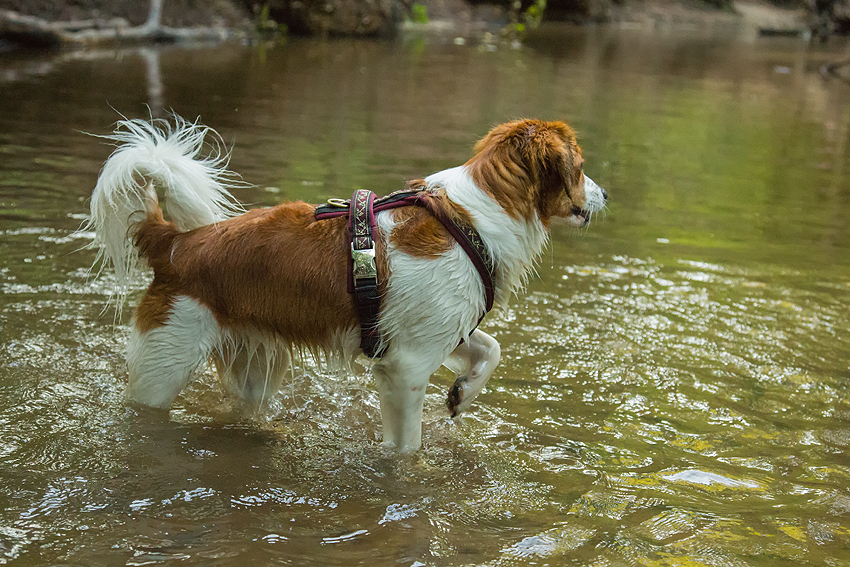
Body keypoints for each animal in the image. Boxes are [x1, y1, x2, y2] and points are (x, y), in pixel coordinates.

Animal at [89, 116, 604, 452]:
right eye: (580, 168)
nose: (605, 194)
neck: (472, 219)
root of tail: (176, 242)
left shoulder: (435, 332)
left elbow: (492, 349)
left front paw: (463, 392)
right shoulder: (407, 366)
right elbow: (406, 450)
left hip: (254, 369)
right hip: (164, 365)